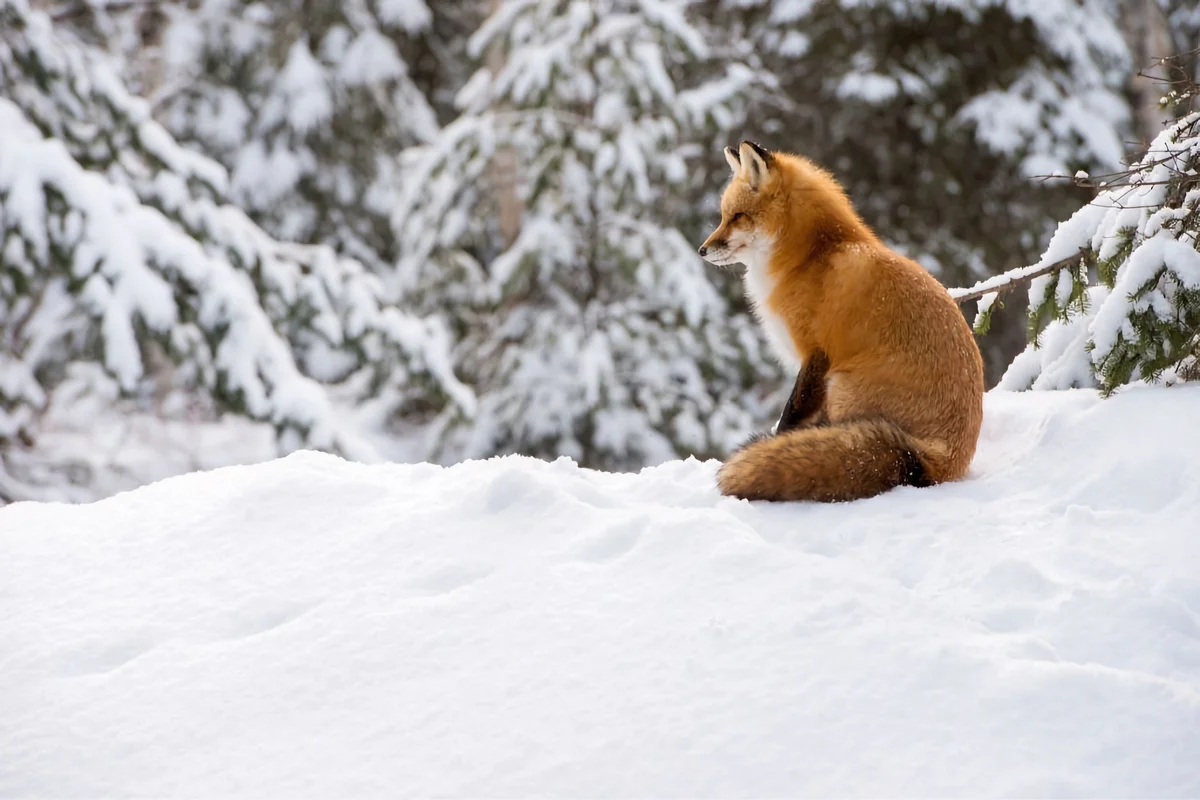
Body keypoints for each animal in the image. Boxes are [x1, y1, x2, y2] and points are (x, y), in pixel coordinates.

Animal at [696, 137, 984, 501]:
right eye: (723, 216)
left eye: (737, 216)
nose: (702, 250)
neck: (809, 258)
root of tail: (941, 460)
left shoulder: (816, 354)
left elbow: (791, 414)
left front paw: (776, 444)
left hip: (841, 386)